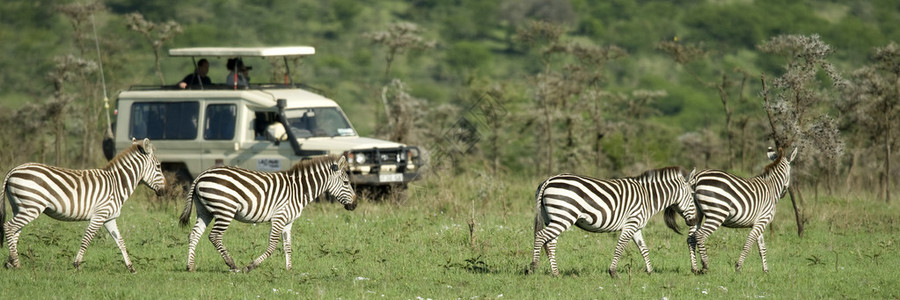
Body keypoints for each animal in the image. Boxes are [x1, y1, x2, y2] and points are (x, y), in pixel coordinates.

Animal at [0, 139, 166, 274]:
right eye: (158, 166)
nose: (165, 191)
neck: (117, 184)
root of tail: (14, 169)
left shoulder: (109, 218)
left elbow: (121, 242)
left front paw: (131, 267)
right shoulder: (99, 215)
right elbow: (86, 239)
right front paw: (77, 264)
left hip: (20, 208)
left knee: (15, 231)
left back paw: (11, 263)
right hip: (31, 207)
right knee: (8, 227)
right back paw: (15, 262)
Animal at [179, 154, 356, 274]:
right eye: (346, 182)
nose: (355, 205)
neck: (298, 190)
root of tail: (201, 175)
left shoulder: (288, 221)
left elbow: (288, 246)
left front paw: (289, 269)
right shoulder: (279, 217)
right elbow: (272, 246)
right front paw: (251, 266)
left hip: (205, 211)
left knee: (194, 234)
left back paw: (190, 266)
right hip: (225, 210)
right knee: (214, 236)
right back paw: (233, 265)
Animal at [524, 166, 700, 276]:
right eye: (693, 197)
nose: (694, 221)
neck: (648, 197)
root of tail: (549, 180)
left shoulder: (636, 227)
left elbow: (644, 249)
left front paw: (650, 271)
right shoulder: (630, 225)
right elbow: (620, 247)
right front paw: (613, 272)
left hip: (553, 218)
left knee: (550, 243)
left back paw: (555, 273)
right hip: (563, 217)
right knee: (541, 237)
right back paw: (533, 267)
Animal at [688, 146, 800, 274]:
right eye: (790, 172)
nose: (783, 194)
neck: (771, 187)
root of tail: (697, 177)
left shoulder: (759, 222)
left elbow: (762, 247)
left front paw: (766, 270)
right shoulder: (763, 220)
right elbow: (748, 244)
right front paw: (738, 267)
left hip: (695, 212)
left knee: (691, 238)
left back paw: (694, 268)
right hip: (717, 213)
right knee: (700, 235)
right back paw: (705, 265)